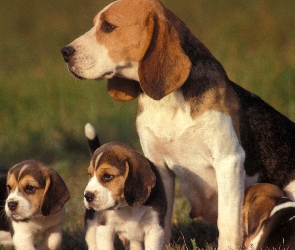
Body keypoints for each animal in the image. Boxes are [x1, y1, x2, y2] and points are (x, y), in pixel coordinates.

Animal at [61, 0, 295, 247]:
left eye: (108, 26)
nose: (64, 52)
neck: (168, 103)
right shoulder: (157, 165)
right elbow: (162, 218)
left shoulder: (228, 161)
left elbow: (228, 222)